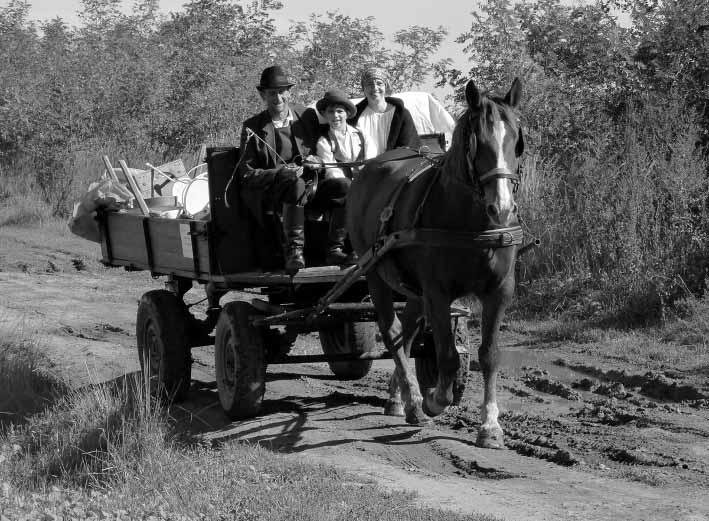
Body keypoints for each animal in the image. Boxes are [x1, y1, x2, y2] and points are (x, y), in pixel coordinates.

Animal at [346, 77, 524, 446]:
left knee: (407, 335)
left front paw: (490, 426)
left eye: (517, 139)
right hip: (376, 276)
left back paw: (397, 397)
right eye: (476, 142)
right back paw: (414, 401)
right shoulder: (438, 293)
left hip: (413, 289)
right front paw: (434, 399)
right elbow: (448, 356)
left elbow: (489, 355)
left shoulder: (500, 290)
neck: (472, 223)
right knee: (392, 333)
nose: (501, 208)